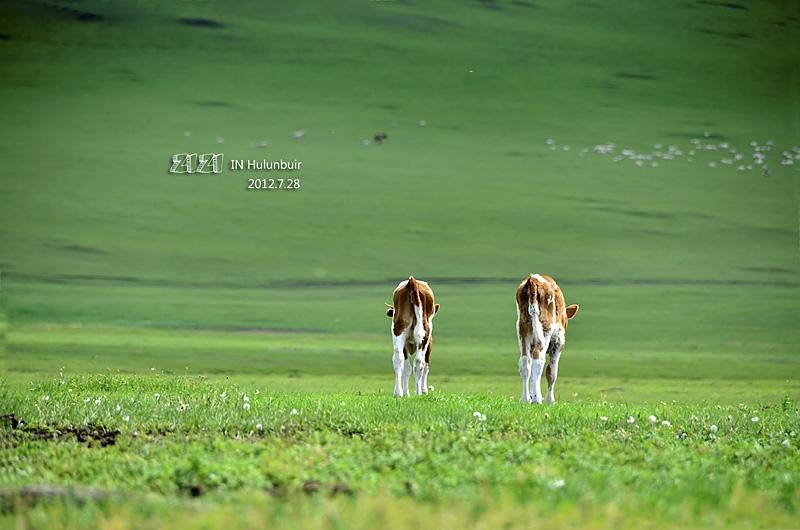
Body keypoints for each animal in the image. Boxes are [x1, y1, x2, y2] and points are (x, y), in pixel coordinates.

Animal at [516, 274, 580, 402]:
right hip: (545, 328)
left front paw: (532, 395)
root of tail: (533, 279)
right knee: (538, 359)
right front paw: (550, 400)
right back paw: (537, 399)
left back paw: (526, 399)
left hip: (523, 328)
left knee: (525, 362)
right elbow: (552, 372)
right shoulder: (558, 343)